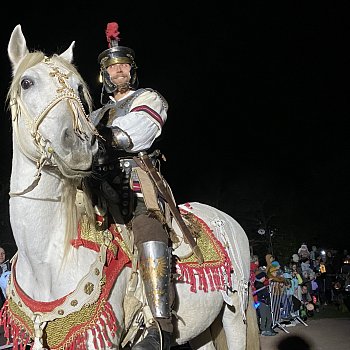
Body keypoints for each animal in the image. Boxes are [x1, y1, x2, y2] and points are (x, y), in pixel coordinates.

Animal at [0, 25, 260, 350]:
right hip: (203, 327)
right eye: (26, 82)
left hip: (234, 311)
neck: (48, 257)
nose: (79, 144)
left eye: (77, 87)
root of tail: (225, 220)